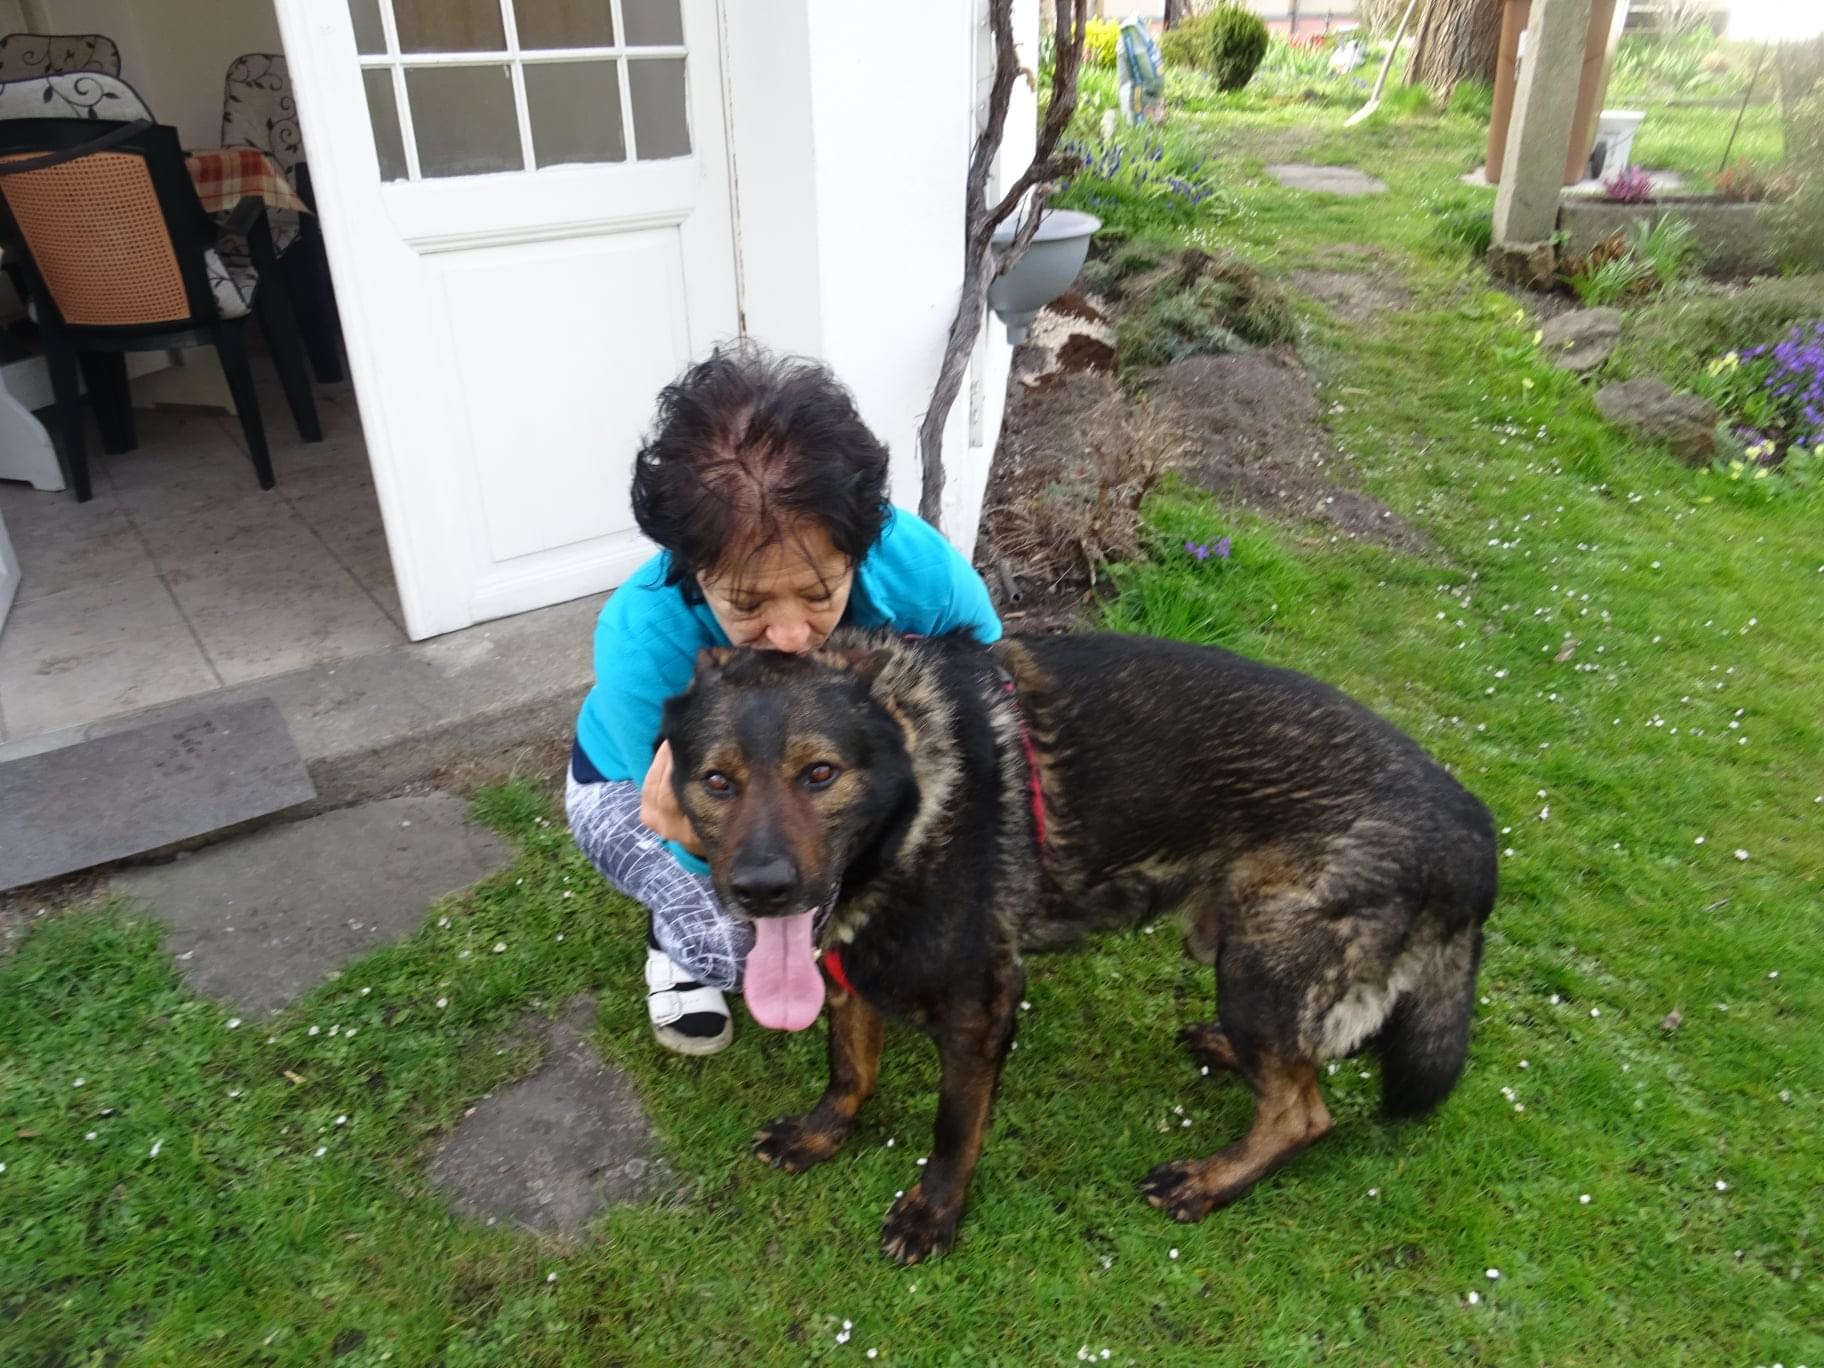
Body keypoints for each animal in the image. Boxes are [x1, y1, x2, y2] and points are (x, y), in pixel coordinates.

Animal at [661, 628, 1497, 1264]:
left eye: (820, 773)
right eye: (717, 781)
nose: (762, 890)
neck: (914, 813)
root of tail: (1476, 830)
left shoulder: (981, 1011)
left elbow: (953, 1131)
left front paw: (934, 1214)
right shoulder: (848, 969)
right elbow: (848, 1069)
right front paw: (821, 1133)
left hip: (1258, 969)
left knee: (1302, 1114)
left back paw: (1209, 1181)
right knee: (1298, 1071)